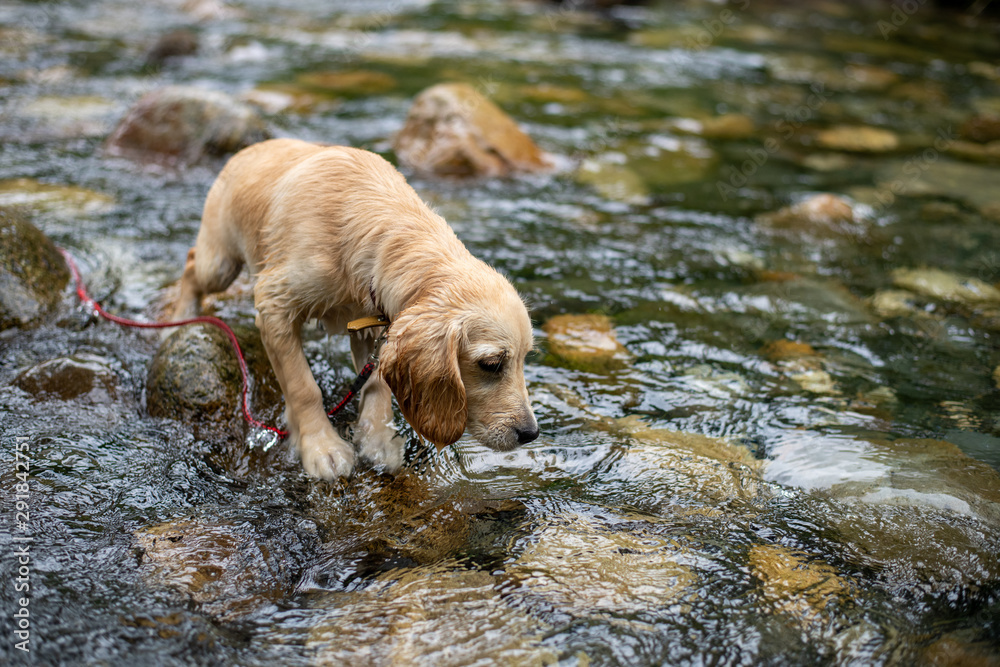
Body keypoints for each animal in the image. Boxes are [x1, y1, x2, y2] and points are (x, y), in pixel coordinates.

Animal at [174, 137, 540, 480]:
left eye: (524, 358)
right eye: (491, 364)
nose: (531, 433)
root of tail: (251, 149)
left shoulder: (377, 320)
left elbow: (377, 382)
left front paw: (378, 439)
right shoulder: (274, 303)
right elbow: (303, 387)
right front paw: (322, 447)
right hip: (219, 263)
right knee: (191, 264)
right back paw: (179, 317)